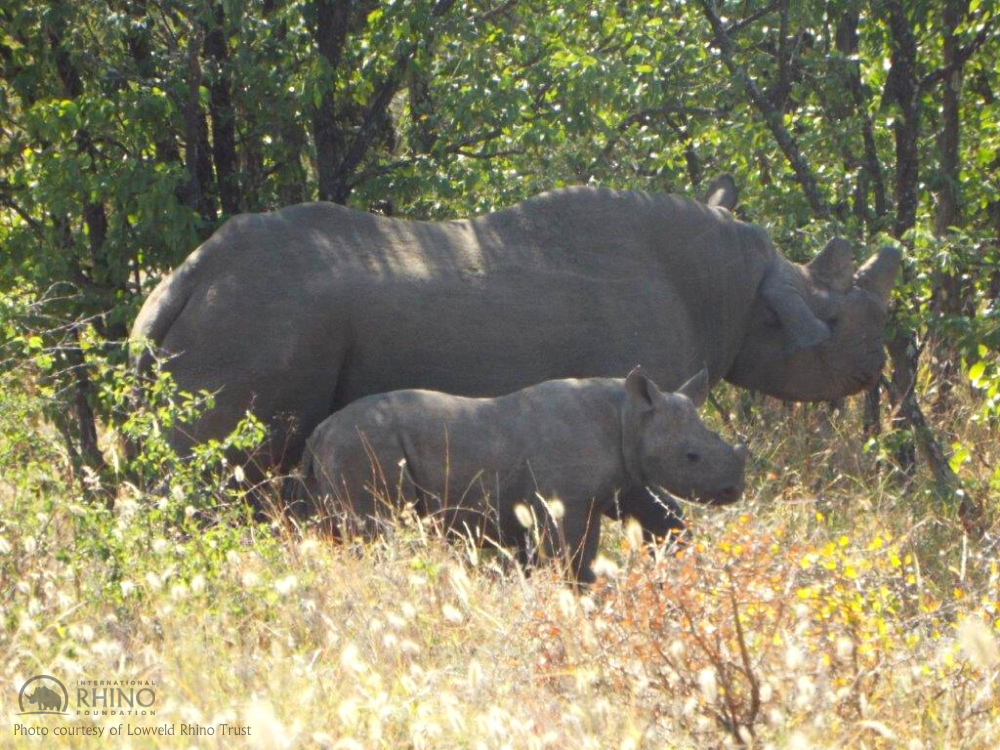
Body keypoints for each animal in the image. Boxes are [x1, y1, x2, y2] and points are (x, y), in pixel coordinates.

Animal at [131, 177, 900, 534]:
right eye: (830, 319)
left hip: (221, 315)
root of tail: (184, 281)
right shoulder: (641, 409)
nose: (875, 364)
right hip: (260, 320)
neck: (734, 286)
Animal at [300, 368, 746, 582]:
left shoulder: (627, 482)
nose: (734, 490)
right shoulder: (566, 501)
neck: (629, 416)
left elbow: (665, 518)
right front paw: (583, 596)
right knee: (374, 533)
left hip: (349, 447)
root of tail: (318, 433)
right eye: (691, 457)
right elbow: (572, 555)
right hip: (363, 444)